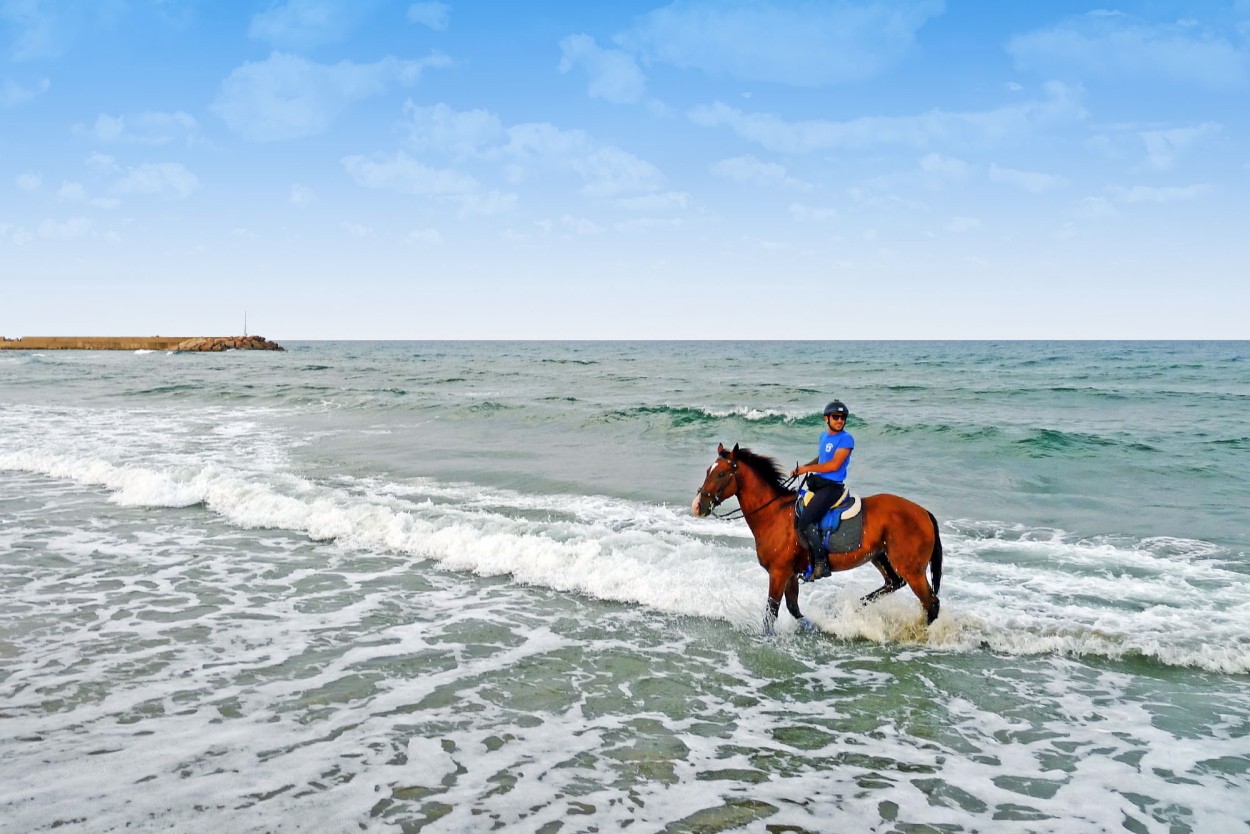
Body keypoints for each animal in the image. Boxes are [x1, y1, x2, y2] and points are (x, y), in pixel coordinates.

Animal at [692, 443, 943, 635]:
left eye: (721, 474)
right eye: (707, 471)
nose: (698, 506)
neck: (773, 514)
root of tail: (924, 512)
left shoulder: (778, 572)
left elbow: (771, 612)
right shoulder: (790, 574)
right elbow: (793, 608)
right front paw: (814, 625)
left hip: (912, 569)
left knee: (931, 603)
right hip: (880, 556)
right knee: (894, 583)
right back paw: (856, 608)